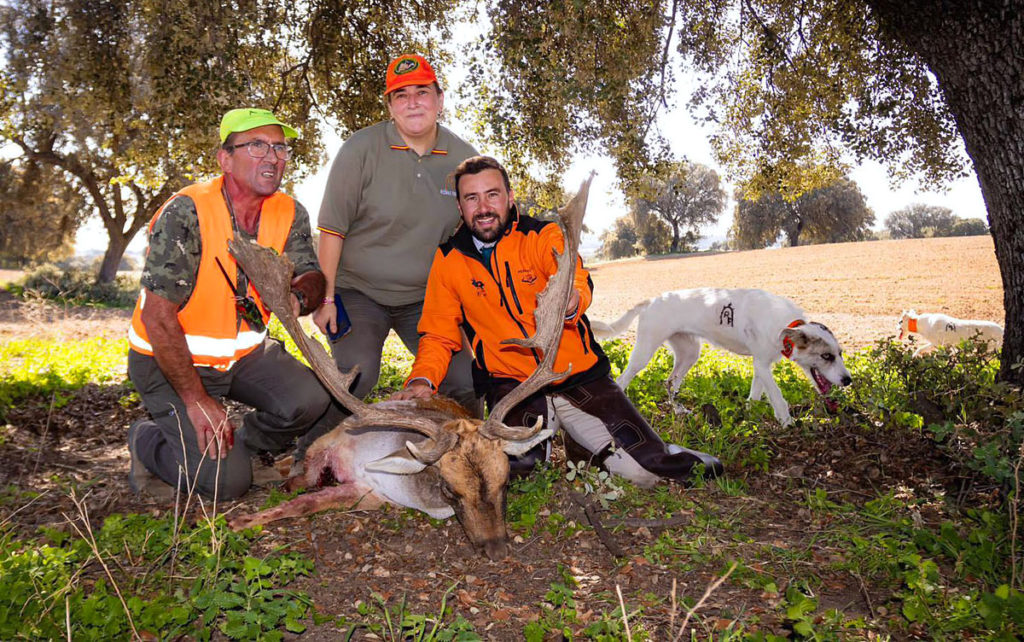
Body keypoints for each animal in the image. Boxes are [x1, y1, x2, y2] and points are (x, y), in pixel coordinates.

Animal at [224, 174, 593, 557]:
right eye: (449, 487)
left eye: (504, 481)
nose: (496, 549)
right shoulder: (335, 438)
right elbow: (302, 484)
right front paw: (239, 520)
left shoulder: (368, 493)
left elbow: (308, 501)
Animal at [589, 290, 851, 427]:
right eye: (826, 356)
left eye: (840, 354)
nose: (848, 381)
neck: (785, 326)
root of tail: (652, 300)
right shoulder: (762, 364)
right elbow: (777, 397)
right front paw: (787, 423)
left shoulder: (761, 366)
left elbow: (755, 396)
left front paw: (748, 417)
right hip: (644, 352)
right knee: (622, 380)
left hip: (689, 353)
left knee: (670, 382)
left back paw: (679, 411)